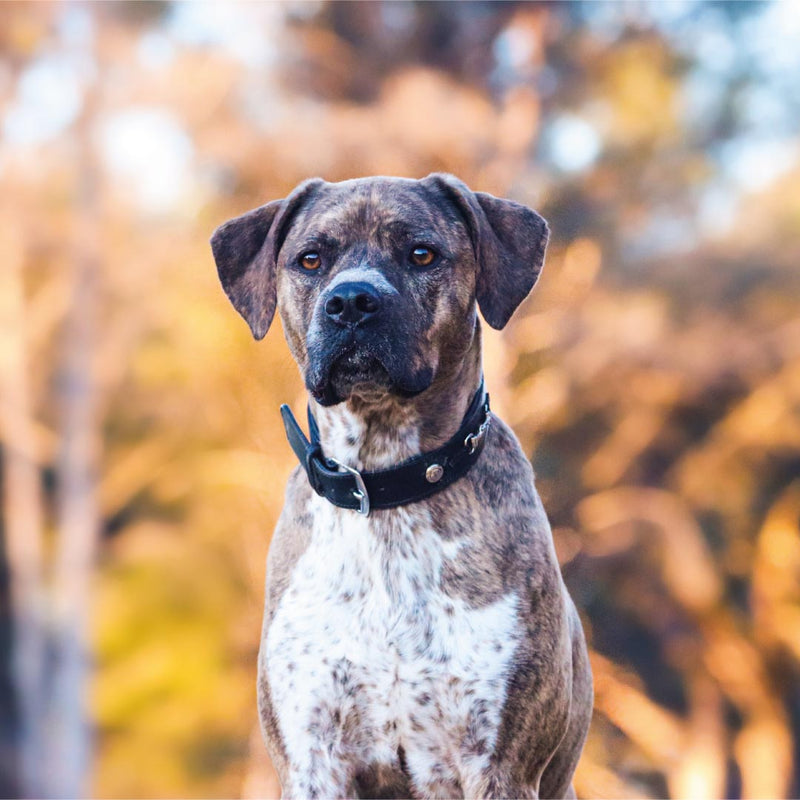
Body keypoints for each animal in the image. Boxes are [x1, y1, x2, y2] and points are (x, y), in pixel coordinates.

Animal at [209, 172, 592, 796]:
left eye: (421, 253)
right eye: (311, 259)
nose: (351, 301)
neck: (384, 482)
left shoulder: (500, 763)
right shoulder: (312, 759)